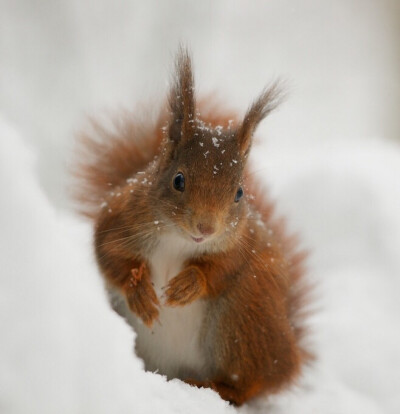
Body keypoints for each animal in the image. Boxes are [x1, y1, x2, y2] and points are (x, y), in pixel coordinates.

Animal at [75, 47, 312, 404]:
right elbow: (109, 253)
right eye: (178, 180)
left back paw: (213, 386)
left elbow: (225, 266)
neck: (179, 239)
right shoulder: (121, 216)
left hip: (243, 314)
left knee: (248, 385)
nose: (206, 228)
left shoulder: (244, 242)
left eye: (239, 193)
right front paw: (138, 291)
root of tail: (288, 357)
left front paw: (191, 282)